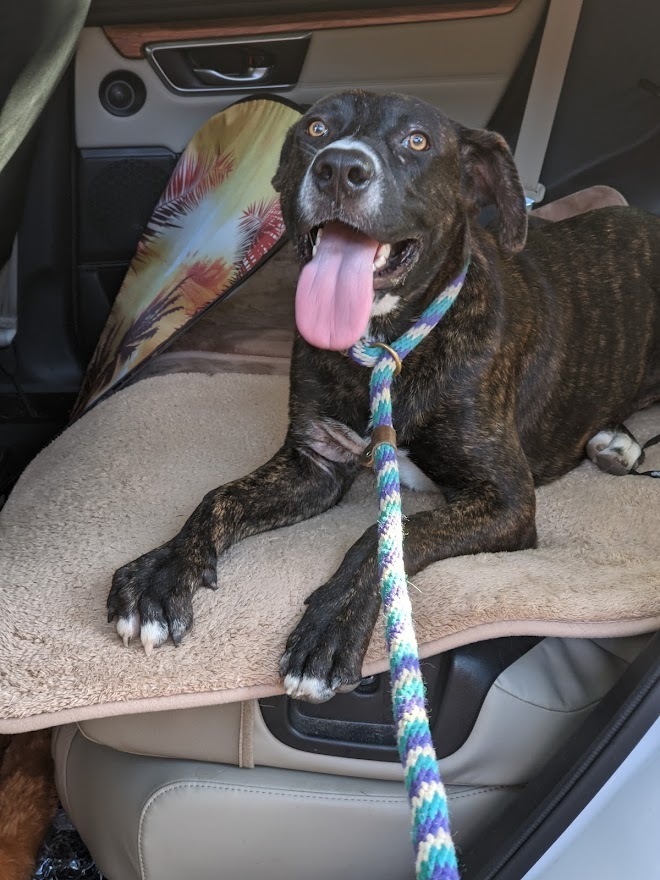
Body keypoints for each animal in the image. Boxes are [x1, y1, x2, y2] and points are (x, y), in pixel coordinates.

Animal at [107, 91, 660, 700]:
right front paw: (162, 571)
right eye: (315, 129)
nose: (339, 169)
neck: (383, 344)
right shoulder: (315, 463)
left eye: (416, 140)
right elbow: (217, 496)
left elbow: (389, 534)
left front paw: (331, 625)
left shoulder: (507, 500)